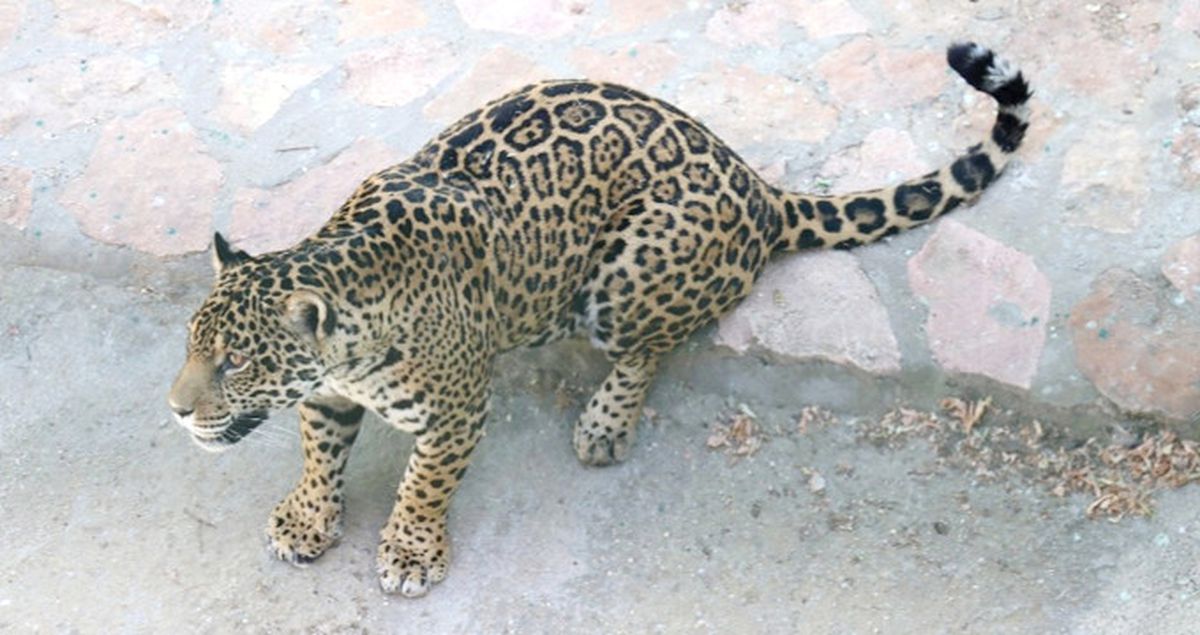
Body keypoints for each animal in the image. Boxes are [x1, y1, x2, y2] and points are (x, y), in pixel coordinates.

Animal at [167, 43, 1032, 598]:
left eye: (236, 362)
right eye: (193, 348)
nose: (174, 410)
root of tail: (759, 189)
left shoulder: (455, 411)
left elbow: (423, 481)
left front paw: (411, 550)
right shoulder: (324, 394)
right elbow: (319, 455)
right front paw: (308, 518)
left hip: (626, 275)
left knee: (651, 346)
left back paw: (605, 423)